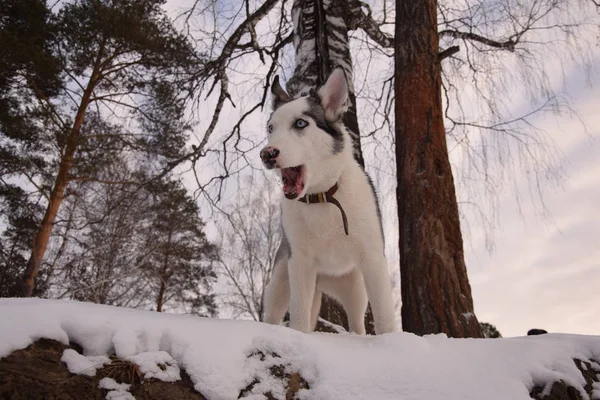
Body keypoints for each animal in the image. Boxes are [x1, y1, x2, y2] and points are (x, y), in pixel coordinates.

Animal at [260, 69, 396, 334]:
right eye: (271, 128)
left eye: (300, 123)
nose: (267, 154)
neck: (322, 196)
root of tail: (325, 281)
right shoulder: (299, 264)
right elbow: (299, 317)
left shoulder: (373, 259)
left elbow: (385, 316)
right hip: (280, 283)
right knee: (272, 316)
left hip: (356, 290)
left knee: (357, 323)